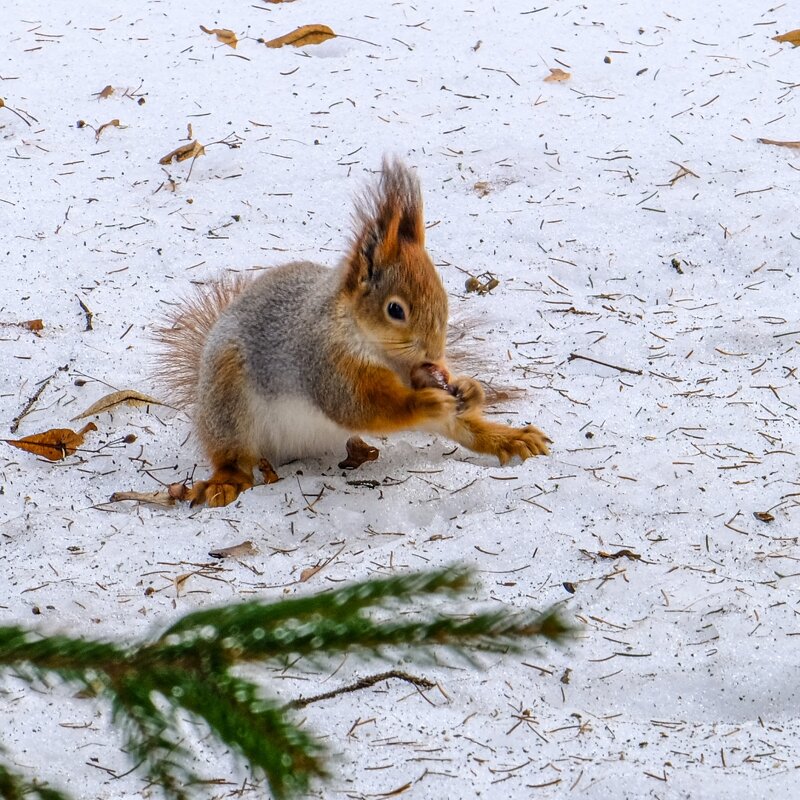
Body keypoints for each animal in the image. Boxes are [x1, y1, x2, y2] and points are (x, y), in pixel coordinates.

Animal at [153, 158, 548, 506]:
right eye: (395, 310)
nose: (435, 354)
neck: (378, 348)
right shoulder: (324, 361)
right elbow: (360, 406)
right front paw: (425, 401)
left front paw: (467, 387)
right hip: (227, 399)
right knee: (232, 454)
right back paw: (227, 481)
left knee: (460, 429)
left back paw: (508, 439)